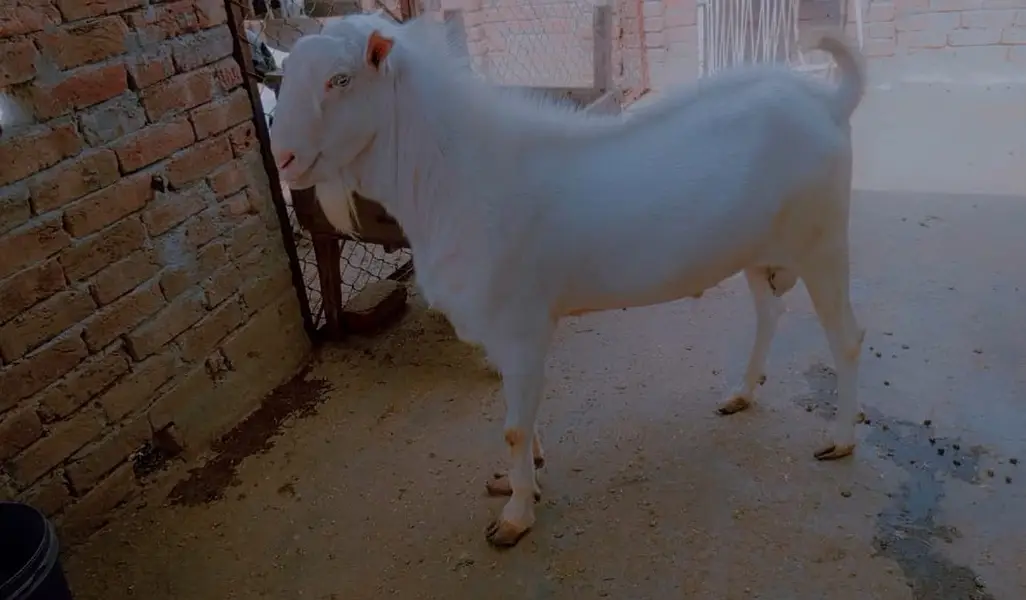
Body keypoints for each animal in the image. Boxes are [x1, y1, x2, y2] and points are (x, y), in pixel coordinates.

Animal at [269, 18, 868, 548]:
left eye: (340, 79)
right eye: (286, 76)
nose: (284, 158)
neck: (455, 177)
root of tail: (829, 103)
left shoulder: (523, 324)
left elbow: (512, 426)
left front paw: (514, 519)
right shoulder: (501, 331)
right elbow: (519, 418)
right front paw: (522, 474)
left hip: (824, 243)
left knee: (847, 339)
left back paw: (839, 441)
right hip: (760, 250)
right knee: (770, 312)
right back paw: (742, 393)